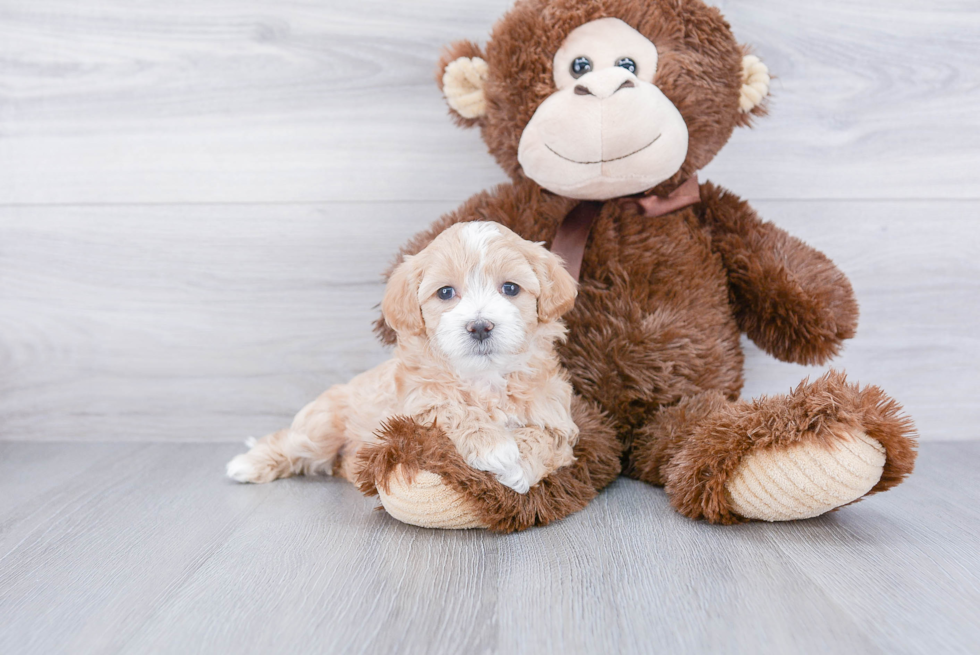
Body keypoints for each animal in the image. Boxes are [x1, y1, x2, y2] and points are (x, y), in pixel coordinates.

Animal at [228, 220, 580, 492]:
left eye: (510, 289)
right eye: (446, 293)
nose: (480, 326)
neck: (484, 378)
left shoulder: (554, 412)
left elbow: (545, 438)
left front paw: (519, 468)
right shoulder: (417, 406)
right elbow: (453, 409)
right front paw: (495, 447)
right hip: (323, 427)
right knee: (290, 442)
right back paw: (247, 464)